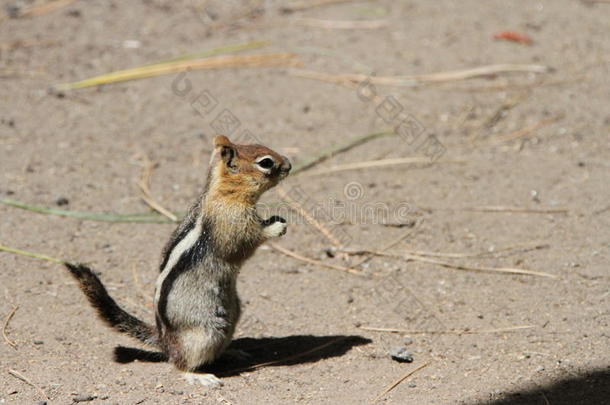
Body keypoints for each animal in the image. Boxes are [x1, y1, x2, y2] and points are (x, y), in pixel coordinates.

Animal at [64, 135, 290, 386]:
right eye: (266, 162)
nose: (289, 165)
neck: (224, 193)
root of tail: (165, 340)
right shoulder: (232, 225)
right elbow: (245, 244)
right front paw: (276, 226)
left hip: (231, 317)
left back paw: (232, 353)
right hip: (205, 332)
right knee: (179, 362)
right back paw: (199, 376)